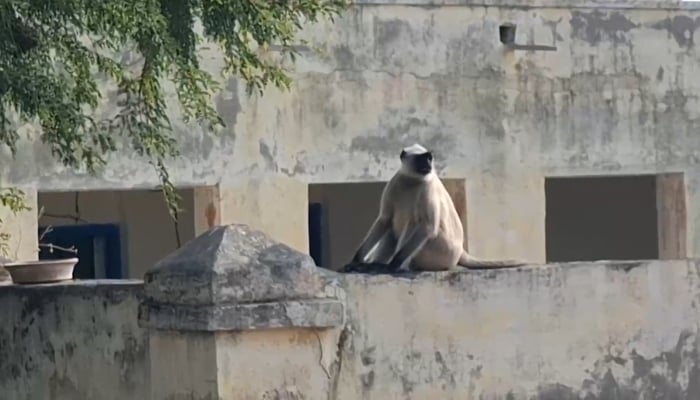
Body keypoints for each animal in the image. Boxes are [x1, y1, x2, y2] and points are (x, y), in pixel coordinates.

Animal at [346, 143, 526, 273]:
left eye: (429, 158)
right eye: (421, 159)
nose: (428, 164)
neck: (412, 180)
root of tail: (460, 251)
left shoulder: (427, 186)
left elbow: (427, 226)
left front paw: (392, 265)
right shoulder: (396, 182)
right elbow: (384, 219)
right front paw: (356, 261)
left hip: (441, 251)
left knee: (415, 223)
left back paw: (397, 267)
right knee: (393, 227)